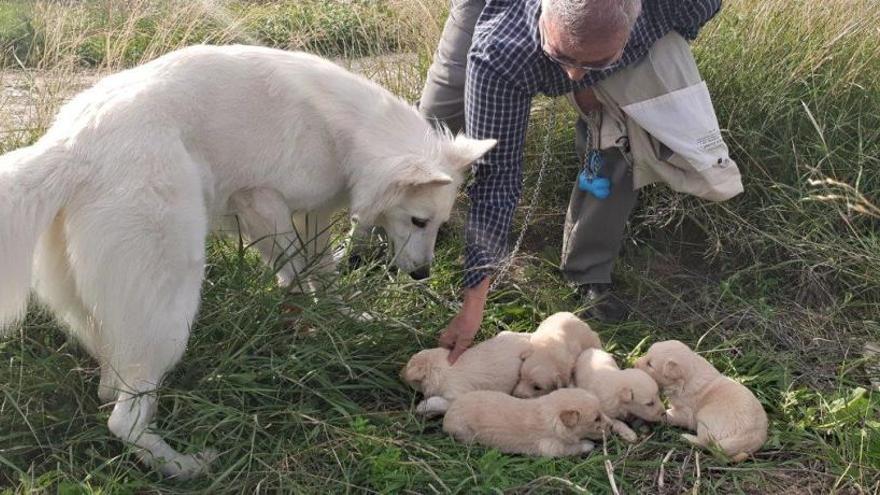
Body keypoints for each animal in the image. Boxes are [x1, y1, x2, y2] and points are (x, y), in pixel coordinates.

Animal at [0, 44, 496, 478]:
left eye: (437, 224)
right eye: (418, 220)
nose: (423, 274)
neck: (346, 133)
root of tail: (69, 146)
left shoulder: (312, 212)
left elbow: (323, 272)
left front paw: (343, 319)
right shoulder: (261, 201)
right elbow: (296, 270)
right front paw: (305, 318)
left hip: (114, 316)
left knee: (111, 386)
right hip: (170, 307)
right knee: (123, 418)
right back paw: (183, 466)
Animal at [444, 390, 608, 460]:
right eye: (596, 419)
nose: (611, 427)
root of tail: (449, 412)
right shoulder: (551, 447)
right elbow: (572, 447)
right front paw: (588, 444)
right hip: (464, 432)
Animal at [636, 340, 768, 464]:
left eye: (650, 364)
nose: (634, 362)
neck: (685, 380)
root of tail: (747, 440)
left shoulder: (686, 413)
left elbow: (669, 415)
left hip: (705, 419)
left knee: (705, 443)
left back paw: (686, 437)